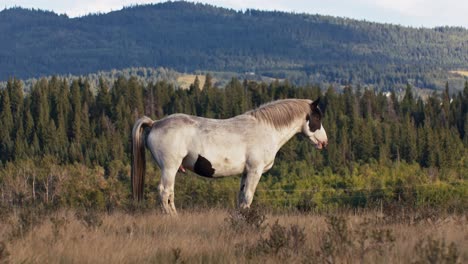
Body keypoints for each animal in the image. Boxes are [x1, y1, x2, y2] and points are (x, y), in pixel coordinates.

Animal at [132, 98, 330, 216]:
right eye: (317, 118)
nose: (324, 142)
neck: (266, 129)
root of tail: (155, 123)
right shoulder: (255, 171)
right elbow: (248, 197)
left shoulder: (245, 173)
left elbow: (241, 198)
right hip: (169, 168)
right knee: (165, 192)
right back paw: (173, 217)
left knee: (169, 193)